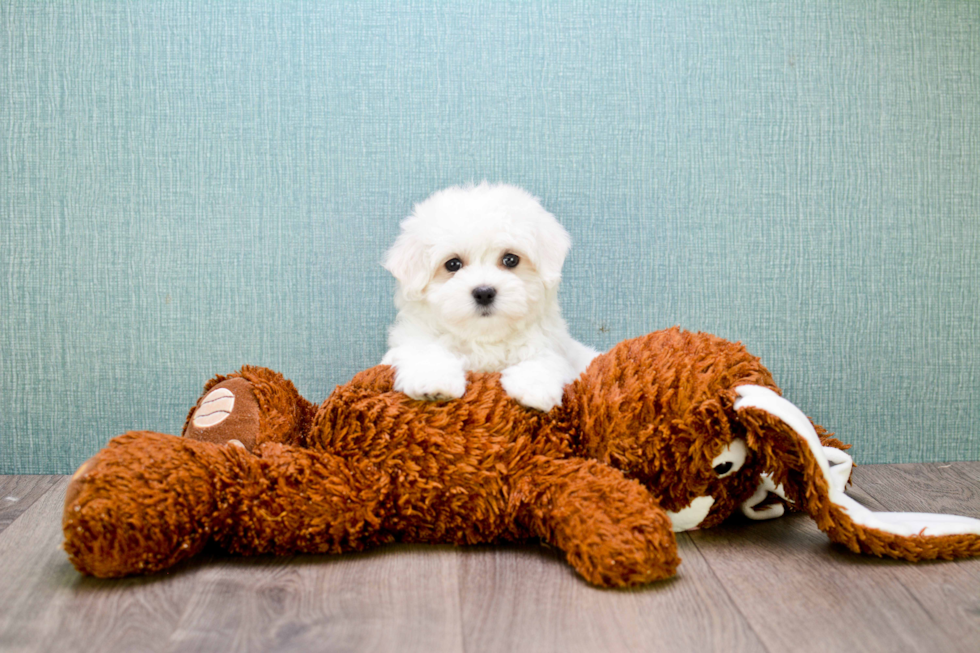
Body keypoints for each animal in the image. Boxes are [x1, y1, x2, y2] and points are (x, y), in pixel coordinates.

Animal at [380, 181, 596, 410]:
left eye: (511, 259)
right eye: (453, 264)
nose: (484, 293)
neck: (484, 338)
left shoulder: (552, 346)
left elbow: (545, 359)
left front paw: (535, 388)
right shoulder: (413, 337)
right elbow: (424, 350)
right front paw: (434, 381)